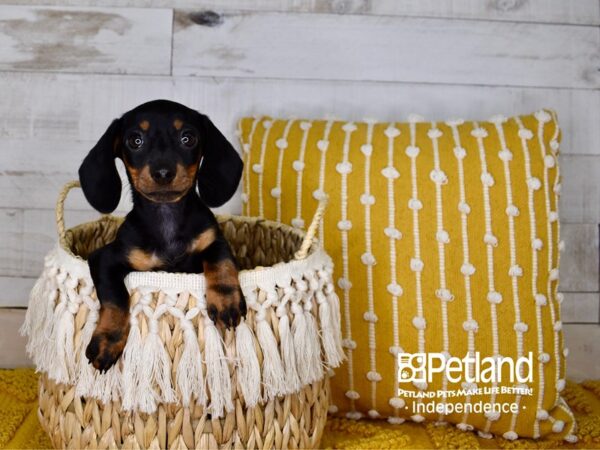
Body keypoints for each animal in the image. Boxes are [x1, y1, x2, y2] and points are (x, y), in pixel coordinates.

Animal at [79, 100, 246, 370]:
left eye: (188, 138)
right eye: (135, 140)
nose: (163, 173)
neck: (166, 217)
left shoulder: (214, 238)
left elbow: (220, 259)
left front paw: (225, 301)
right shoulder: (104, 259)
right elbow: (116, 298)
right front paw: (107, 340)